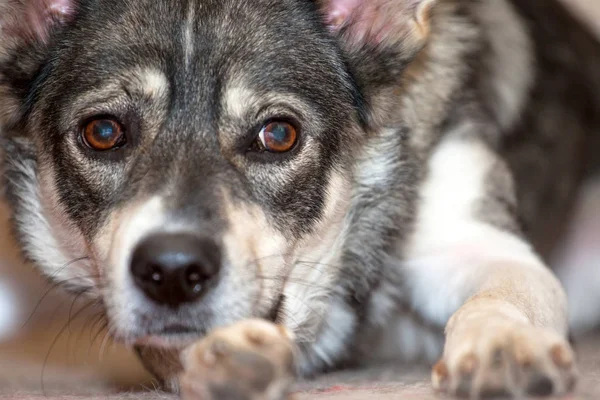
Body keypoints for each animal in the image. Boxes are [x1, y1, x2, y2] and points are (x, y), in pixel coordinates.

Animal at [1, 0, 600, 398]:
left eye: (278, 134)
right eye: (103, 132)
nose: (170, 272)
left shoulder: (477, 240)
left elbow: (502, 298)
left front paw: (504, 347)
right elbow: (167, 343)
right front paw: (219, 358)